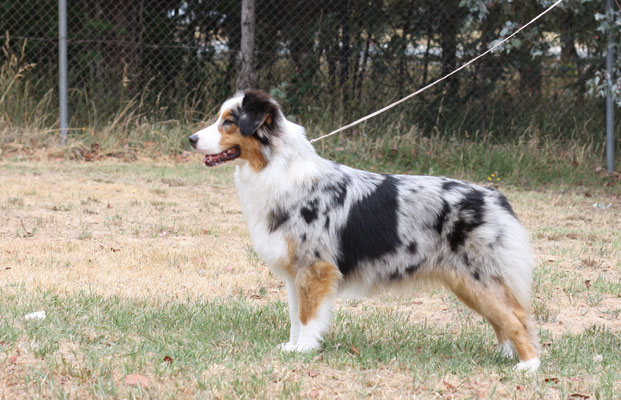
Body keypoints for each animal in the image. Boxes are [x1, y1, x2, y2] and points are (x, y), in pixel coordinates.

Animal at [191, 90, 540, 372]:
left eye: (229, 122)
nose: (191, 139)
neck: (276, 168)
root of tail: (494, 196)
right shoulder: (295, 274)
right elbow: (294, 315)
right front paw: (292, 346)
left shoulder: (315, 269)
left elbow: (308, 316)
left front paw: (304, 349)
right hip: (467, 283)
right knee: (508, 317)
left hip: (479, 278)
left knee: (516, 317)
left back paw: (528, 365)